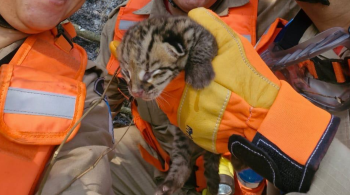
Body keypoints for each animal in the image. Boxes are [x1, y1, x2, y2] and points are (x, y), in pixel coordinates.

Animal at [117, 16, 221, 194]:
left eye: (149, 74)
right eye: (126, 73)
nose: (135, 93)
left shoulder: (204, 35)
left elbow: (202, 47)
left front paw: (199, 73)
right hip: (182, 136)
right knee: (183, 161)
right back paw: (169, 184)